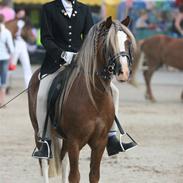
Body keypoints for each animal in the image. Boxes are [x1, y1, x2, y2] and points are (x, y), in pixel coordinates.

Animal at [27, 16, 137, 182]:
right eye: (109, 44)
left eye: (127, 42)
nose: (123, 72)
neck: (94, 98)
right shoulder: (74, 141)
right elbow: (75, 176)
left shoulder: (99, 142)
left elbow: (94, 175)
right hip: (39, 132)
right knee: (44, 161)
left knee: (63, 161)